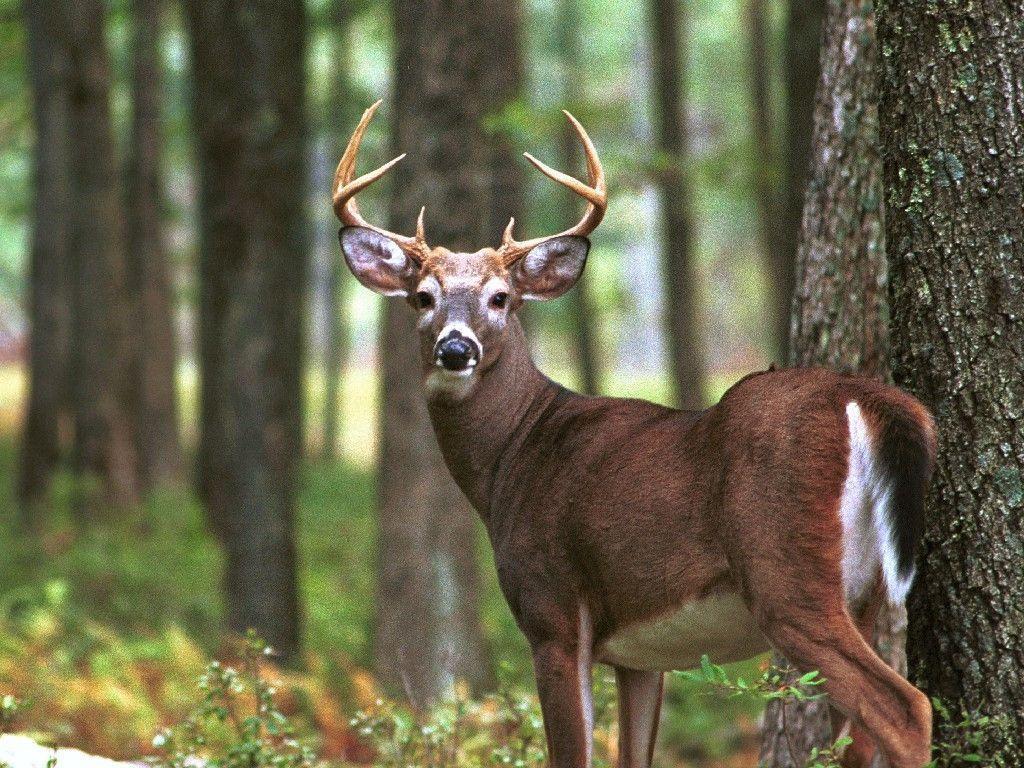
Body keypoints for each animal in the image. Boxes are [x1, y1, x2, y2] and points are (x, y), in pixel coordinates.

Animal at [332, 101, 936, 768]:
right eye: (422, 297)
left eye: (501, 298)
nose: (456, 348)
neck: (513, 455)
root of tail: (866, 396)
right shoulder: (640, 657)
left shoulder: (553, 611)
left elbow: (571, 754)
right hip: (866, 592)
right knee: (860, 733)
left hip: (789, 572)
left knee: (905, 707)